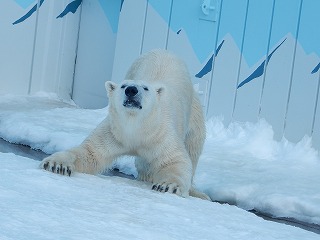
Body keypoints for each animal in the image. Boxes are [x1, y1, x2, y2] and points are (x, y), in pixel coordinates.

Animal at [40, 49, 209, 200]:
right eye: (123, 86)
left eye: (145, 88)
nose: (131, 90)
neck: (136, 128)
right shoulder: (114, 132)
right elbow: (89, 152)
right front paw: (56, 164)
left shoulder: (161, 133)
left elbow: (175, 160)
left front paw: (168, 186)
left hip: (195, 114)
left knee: (193, 148)